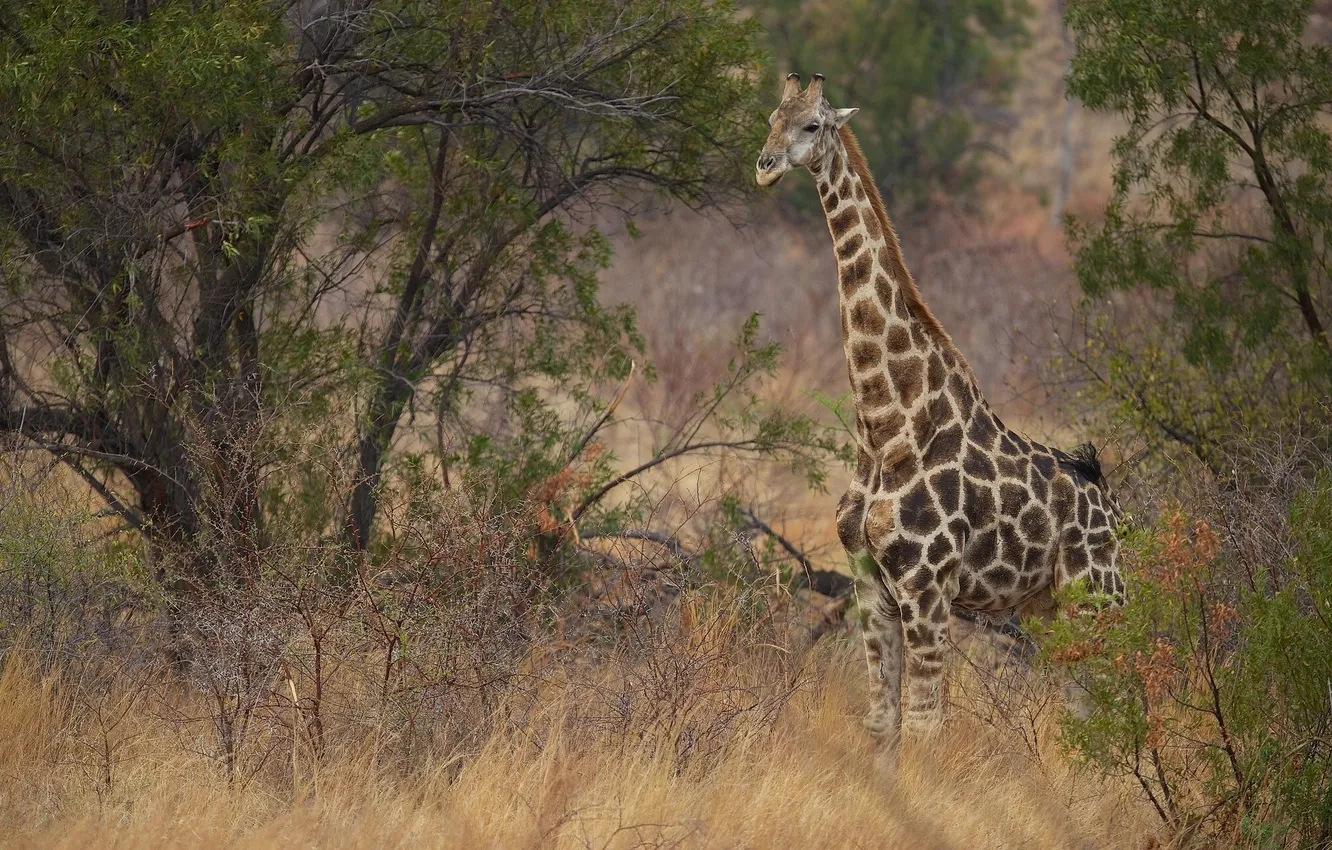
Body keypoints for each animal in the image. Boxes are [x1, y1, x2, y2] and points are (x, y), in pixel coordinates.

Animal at [756, 73, 1118, 767]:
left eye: (813, 125)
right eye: (769, 118)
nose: (763, 166)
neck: (886, 426)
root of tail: (1115, 505)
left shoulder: (927, 591)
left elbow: (925, 729)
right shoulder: (871, 589)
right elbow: (882, 723)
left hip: (1101, 598)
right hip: (1048, 607)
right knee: (1084, 710)